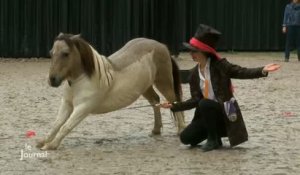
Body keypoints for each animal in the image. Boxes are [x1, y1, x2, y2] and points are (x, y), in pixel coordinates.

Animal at [36, 33, 186, 150]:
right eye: (51, 53)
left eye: (65, 54)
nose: (52, 80)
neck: (82, 79)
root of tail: (162, 46)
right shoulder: (67, 105)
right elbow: (57, 124)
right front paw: (43, 142)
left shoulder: (82, 108)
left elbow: (65, 126)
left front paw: (51, 145)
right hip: (146, 87)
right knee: (155, 100)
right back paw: (156, 130)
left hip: (164, 83)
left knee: (174, 102)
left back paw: (181, 130)